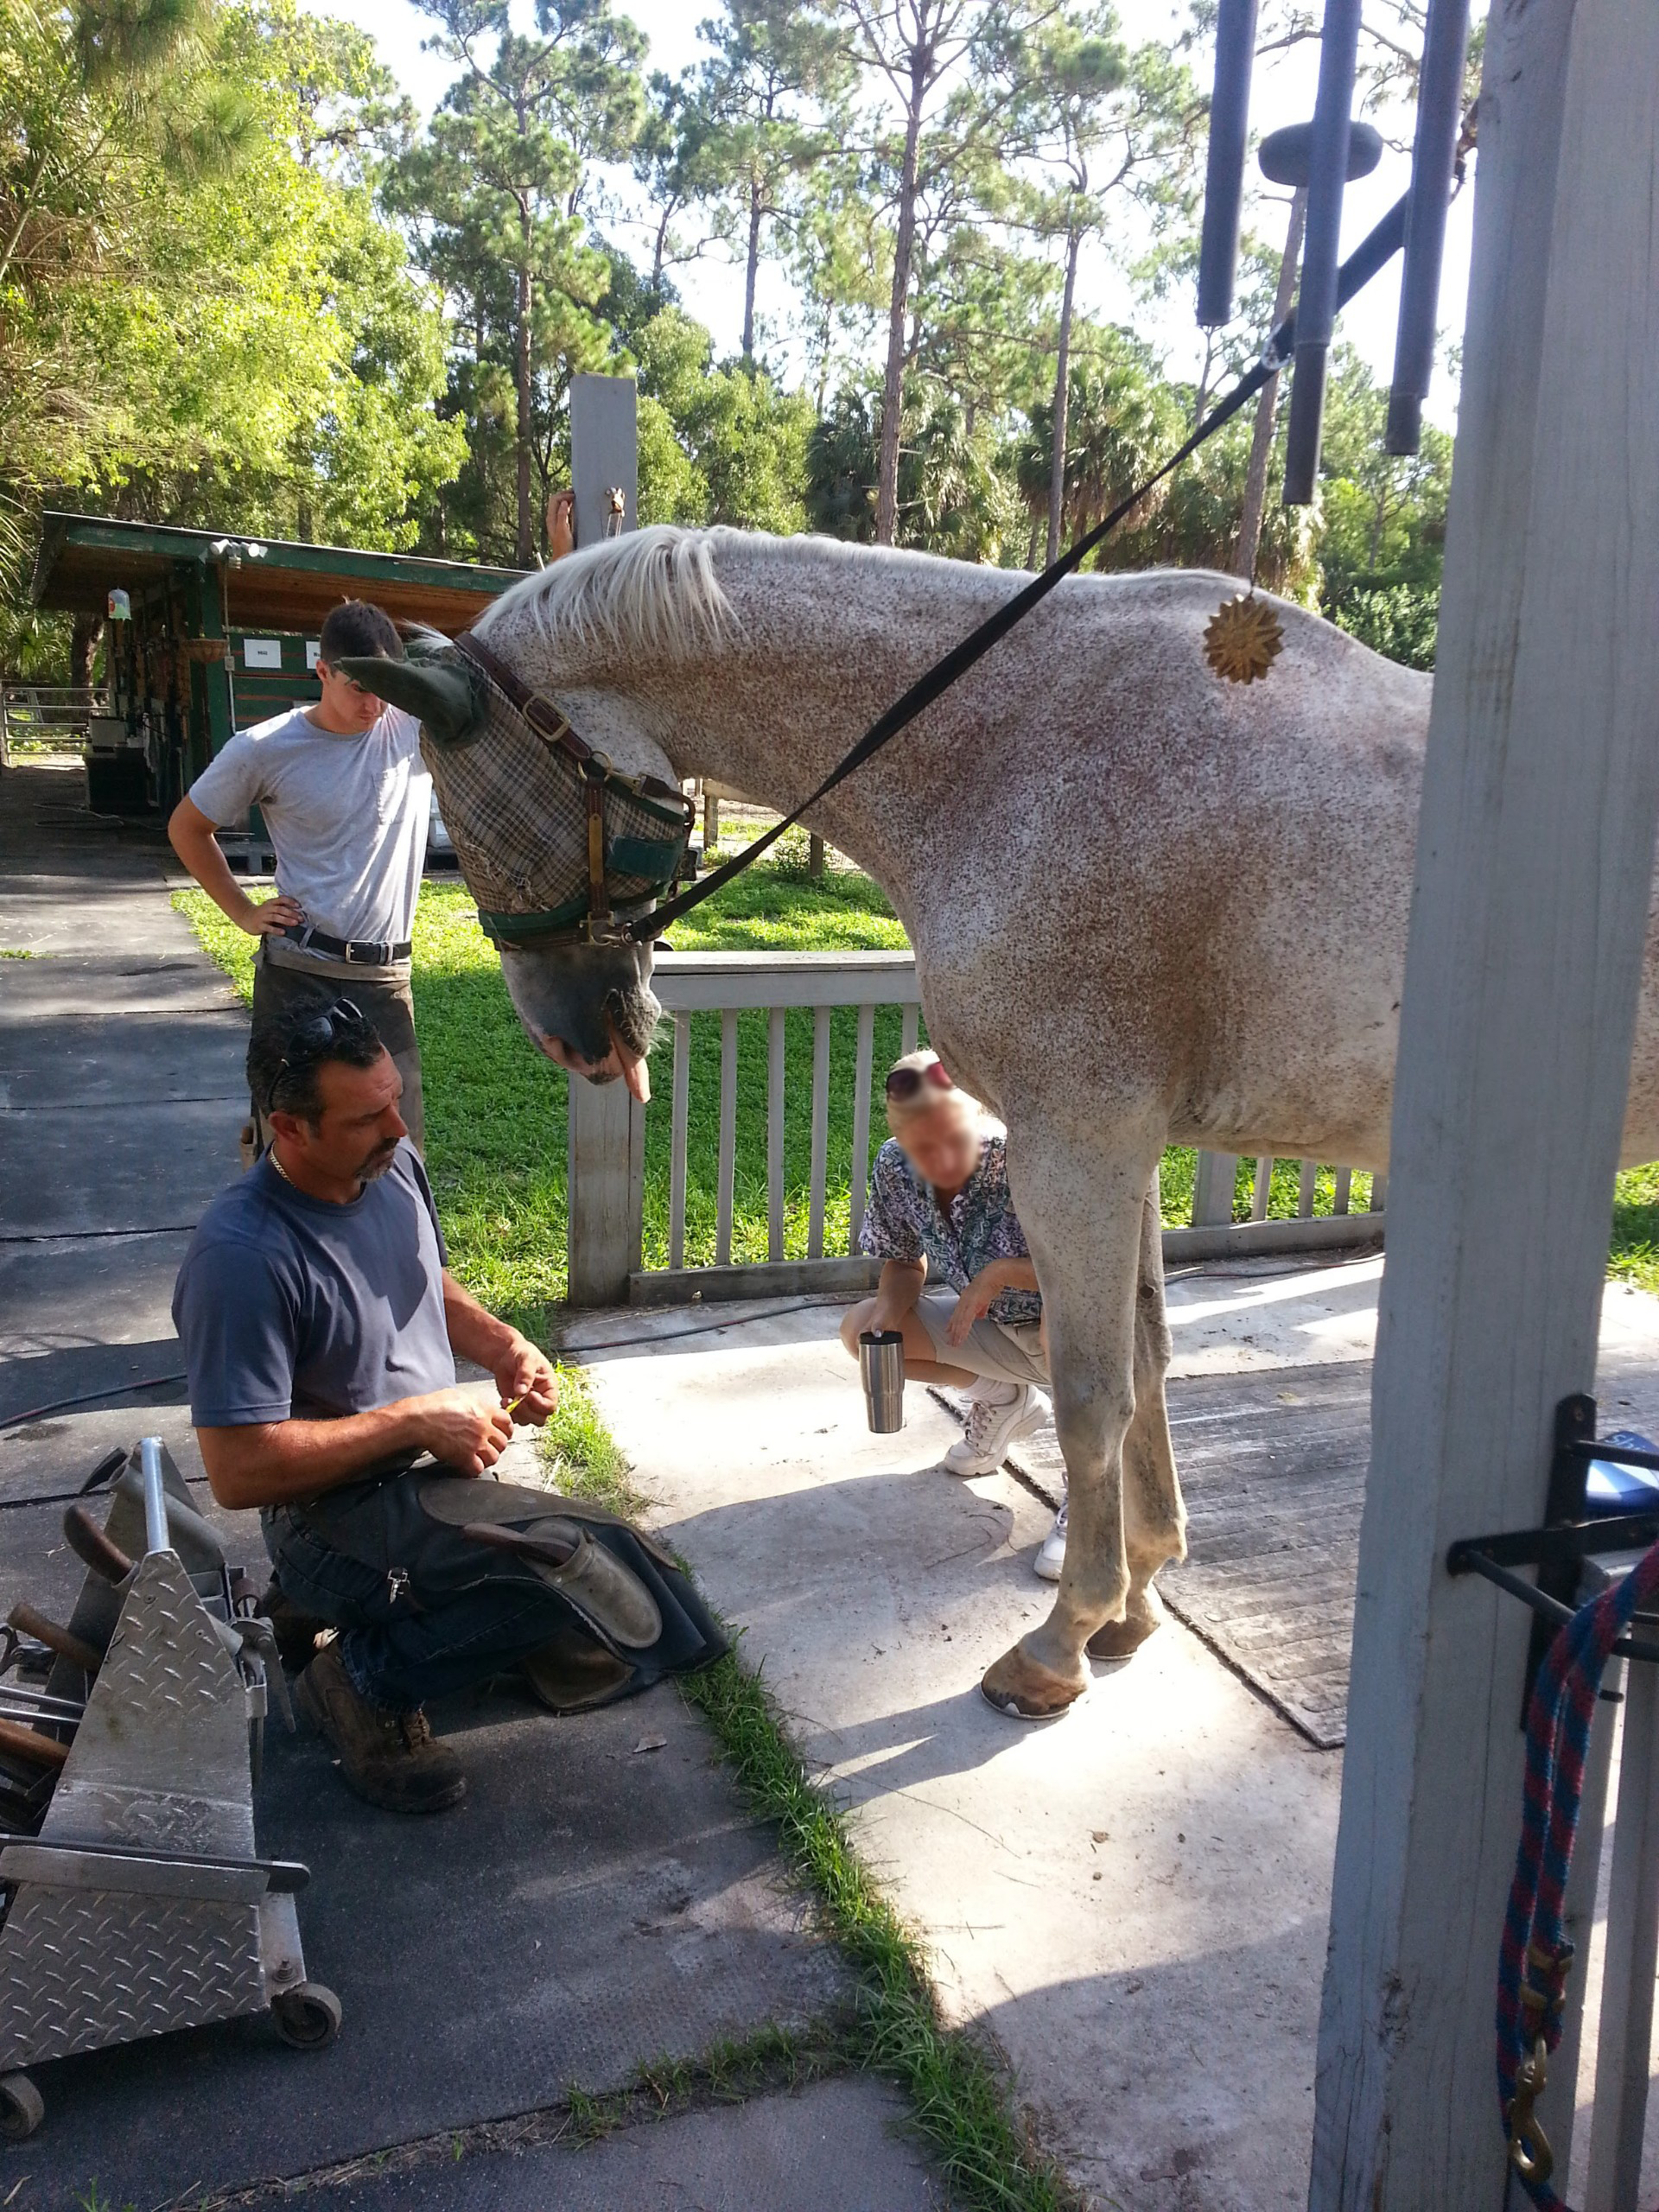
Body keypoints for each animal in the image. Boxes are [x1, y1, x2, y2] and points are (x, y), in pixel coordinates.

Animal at [358, 526, 1659, 1716]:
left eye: (463, 804)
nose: (572, 1036)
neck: (1009, 746)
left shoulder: (1072, 1144)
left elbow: (1090, 1392)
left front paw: (1063, 1637)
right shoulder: (1122, 1147)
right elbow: (1150, 1361)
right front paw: (1140, 1592)